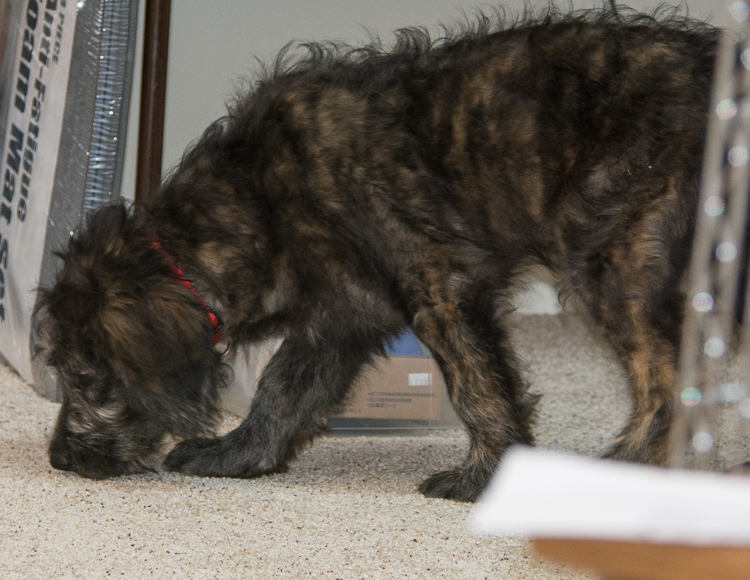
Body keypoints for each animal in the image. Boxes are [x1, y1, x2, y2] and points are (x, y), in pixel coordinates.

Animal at [35, 6, 719, 501]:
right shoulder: (340, 315)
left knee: (664, 386)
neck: (256, 203)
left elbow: (478, 388)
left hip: (616, 262)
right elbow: (282, 389)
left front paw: (483, 477)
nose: (59, 458)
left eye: (85, 377)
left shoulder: (438, 286)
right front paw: (238, 455)